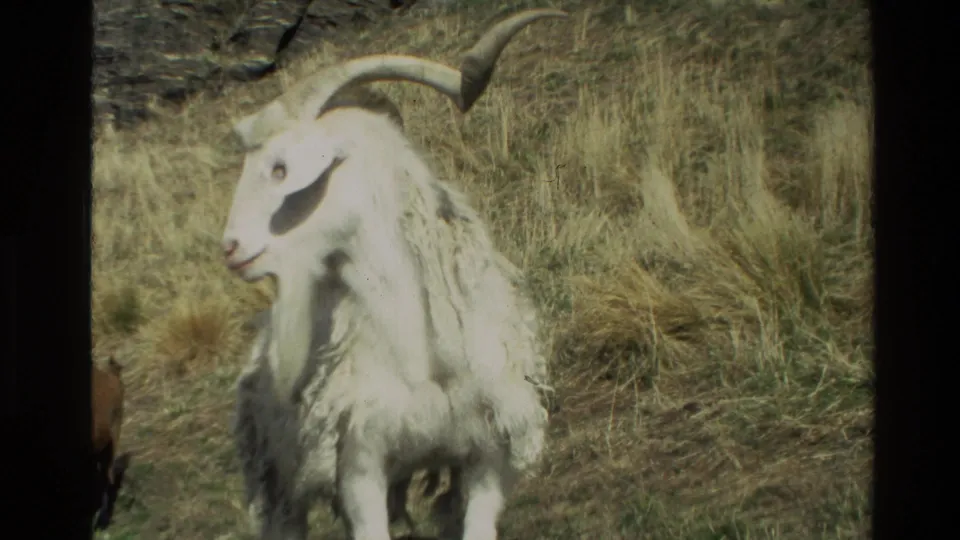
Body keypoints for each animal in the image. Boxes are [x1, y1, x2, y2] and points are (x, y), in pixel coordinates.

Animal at [222, 9, 566, 540]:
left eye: (279, 168)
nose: (231, 248)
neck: (420, 359)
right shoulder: (358, 466)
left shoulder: (488, 459)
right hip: (281, 482)